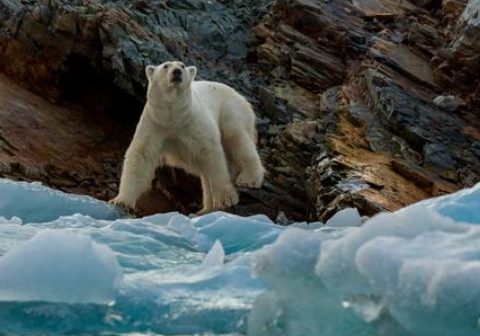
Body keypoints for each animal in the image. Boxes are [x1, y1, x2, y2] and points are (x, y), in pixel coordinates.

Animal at [110, 60, 264, 215]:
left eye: (182, 66)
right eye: (166, 66)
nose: (177, 71)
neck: (174, 118)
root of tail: (240, 96)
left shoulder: (194, 122)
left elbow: (211, 153)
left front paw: (225, 199)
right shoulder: (154, 124)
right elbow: (141, 155)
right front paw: (120, 201)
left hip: (229, 109)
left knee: (236, 137)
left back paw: (249, 179)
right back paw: (205, 210)